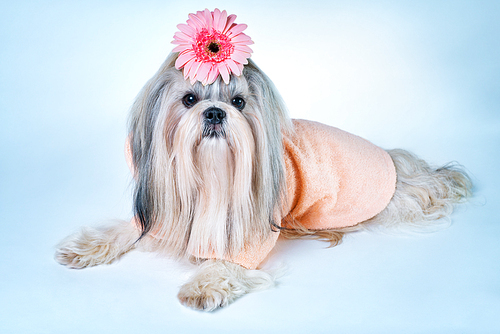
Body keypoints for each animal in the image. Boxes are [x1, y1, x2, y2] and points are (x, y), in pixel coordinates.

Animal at [55, 11, 472, 314]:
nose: (215, 112)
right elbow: (125, 230)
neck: (210, 175)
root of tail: (400, 164)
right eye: (189, 99)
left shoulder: (250, 234)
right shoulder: (158, 211)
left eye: (239, 102)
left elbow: (229, 260)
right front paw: (87, 246)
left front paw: (205, 284)